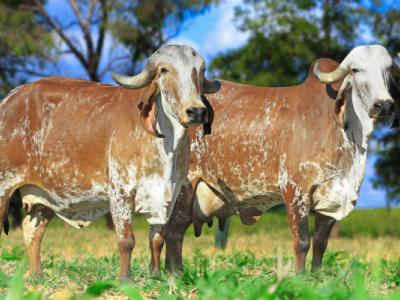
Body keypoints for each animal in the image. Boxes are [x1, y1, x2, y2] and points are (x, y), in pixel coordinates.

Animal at [0, 44, 219, 278]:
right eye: (164, 70)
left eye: (201, 70)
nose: (196, 111)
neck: (166, 143)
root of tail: (9, 98)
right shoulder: (120, 193)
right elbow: (127, 241)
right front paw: (125, 279)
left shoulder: (166, 198)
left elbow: (157, 240)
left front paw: (155, 276)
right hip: (4, 186)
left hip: (44, 195)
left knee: (32, 230)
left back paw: (36, 276)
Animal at [151, 45, 400, 274]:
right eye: (356, 70)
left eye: (388, 69)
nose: (384, 105)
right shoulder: (295, 189)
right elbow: (302, 241)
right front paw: (300, 277)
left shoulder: (331, 196)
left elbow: (321, 243)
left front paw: (317, 277)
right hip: (184, 187)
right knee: (173, 234)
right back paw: (175, 274)